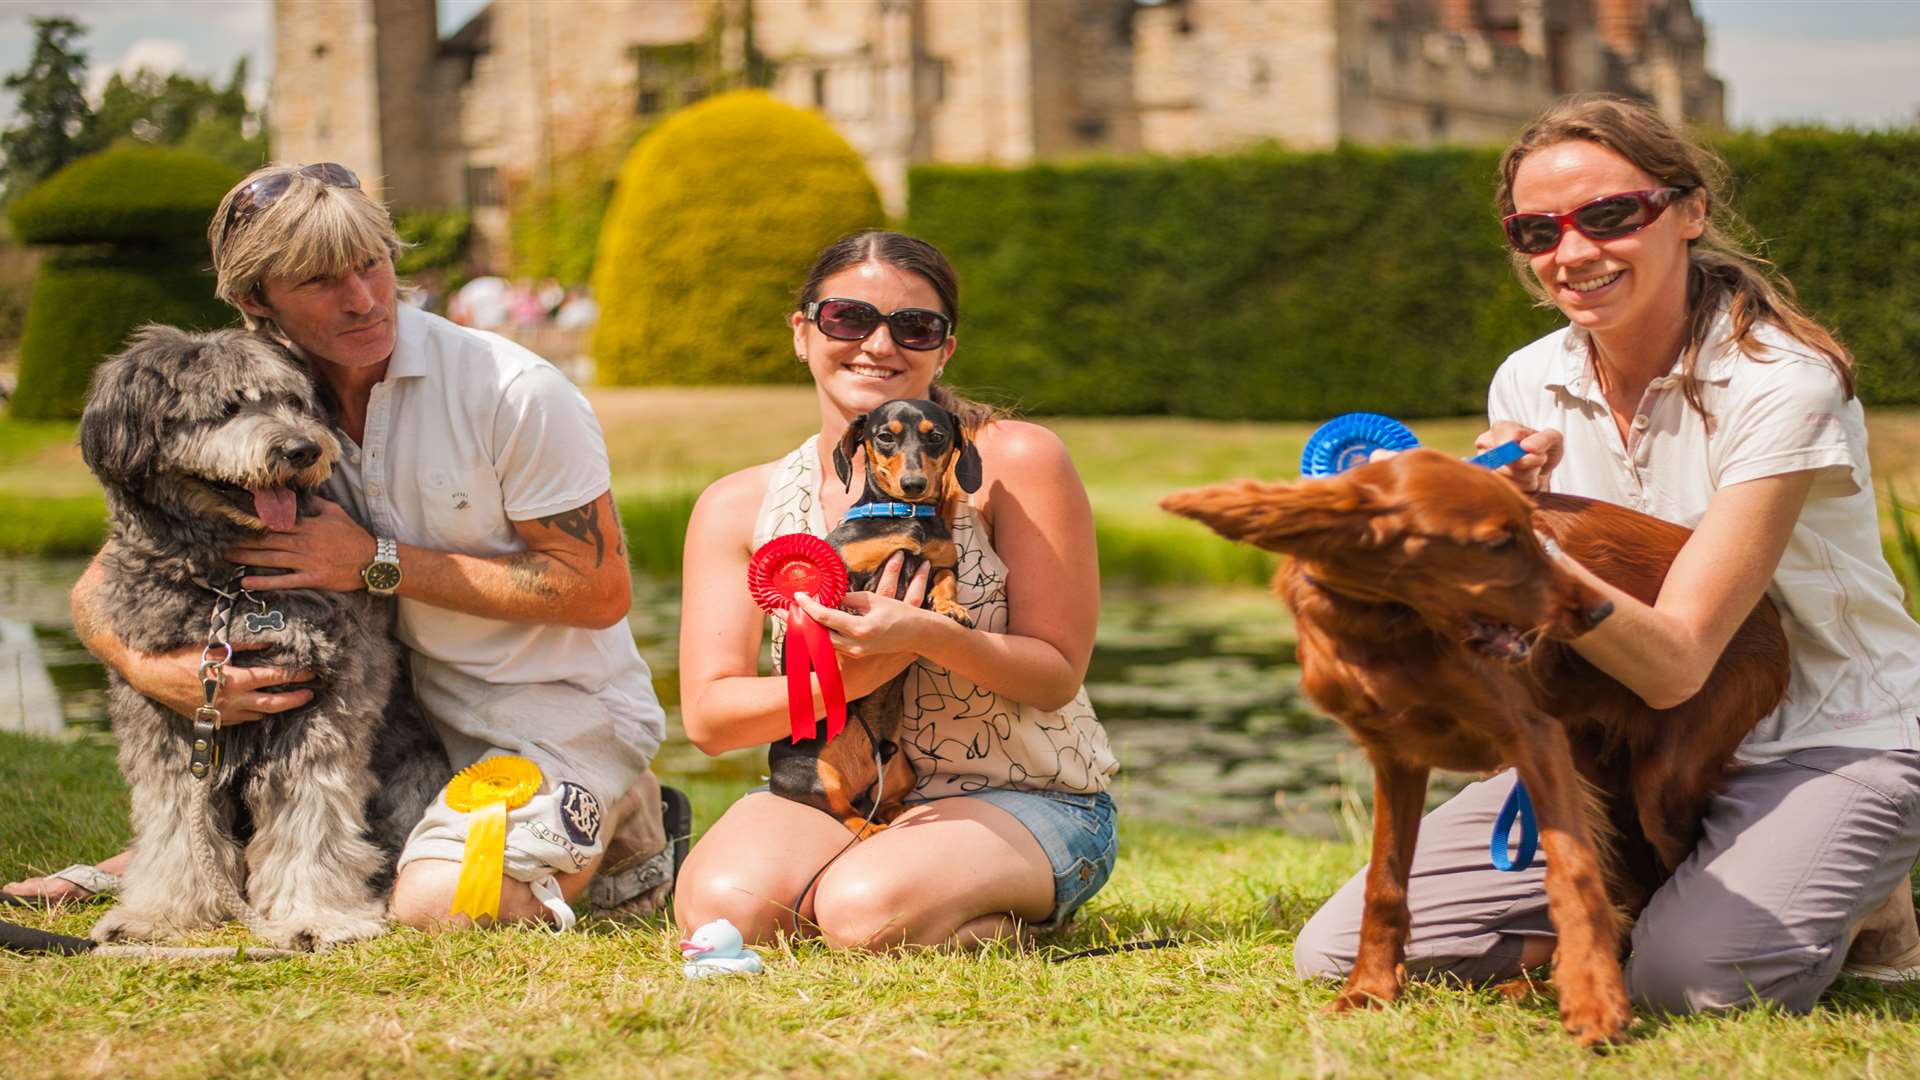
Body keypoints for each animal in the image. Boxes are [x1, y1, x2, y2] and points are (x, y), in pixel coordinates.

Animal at [81, 322, 445, 945]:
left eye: (293, 402)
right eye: (228, 407)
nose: (302, 450)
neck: (228, 587)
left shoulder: (323, 710)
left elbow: (312, 818)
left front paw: (318, 915)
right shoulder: (165, 718)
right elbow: (174, 826)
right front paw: (160, 913)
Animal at [1159, 447, 1789, 1045]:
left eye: (1537, 534)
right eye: (1497, 543)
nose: (1602, 611)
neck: (1385, 626)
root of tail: (1770, 611)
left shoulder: (1533, 736)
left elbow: (1572, 874)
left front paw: (1594, 1003)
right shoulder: (1397, 755)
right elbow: (1384, 882)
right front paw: (1370, 989)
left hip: (1663, 785)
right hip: (1602, 773)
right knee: (1633, 885)